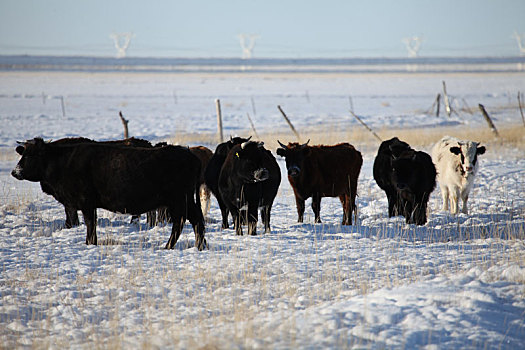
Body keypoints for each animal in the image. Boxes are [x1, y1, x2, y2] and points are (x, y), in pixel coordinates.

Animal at [12, 138, 205, 250]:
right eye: (23, 154)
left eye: (30, 156)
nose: (15, 172)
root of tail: (189, 153)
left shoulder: (86, 202)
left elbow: (90, 224)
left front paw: (90, 243)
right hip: (184, 201)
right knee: (196, 220)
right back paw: (199, 246)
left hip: (179, 200)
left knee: (183, 222)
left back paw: (170, 246)